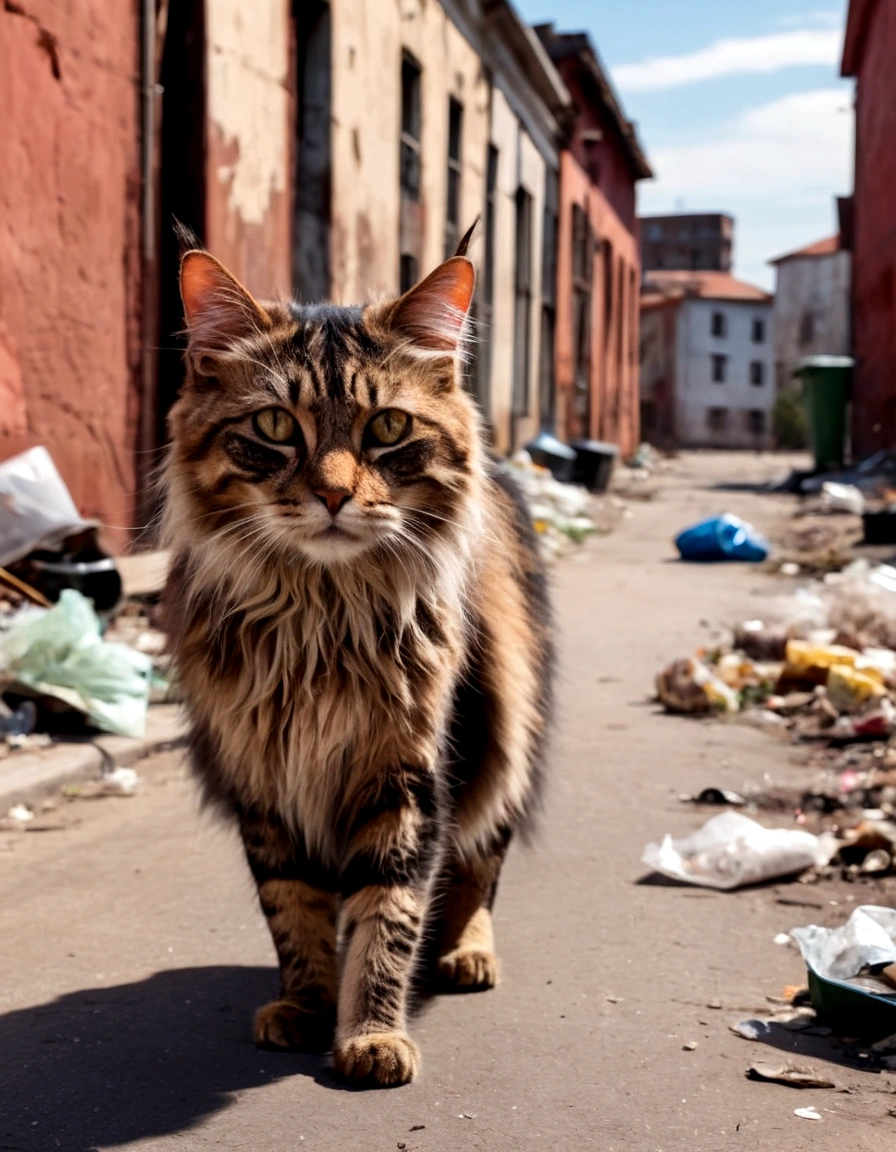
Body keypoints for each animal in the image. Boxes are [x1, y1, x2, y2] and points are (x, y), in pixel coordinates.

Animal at [162, 226, 550, 1087]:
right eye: (276, 427)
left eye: (388, 429)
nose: (336, 494)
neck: (319, 616)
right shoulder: (266, 778)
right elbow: (293, 907)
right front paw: (308, 1005)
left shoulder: (408, 774)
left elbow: (391, 910)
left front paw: (372, 1033)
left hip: (505, 728)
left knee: (482, 865)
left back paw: (467, 953)